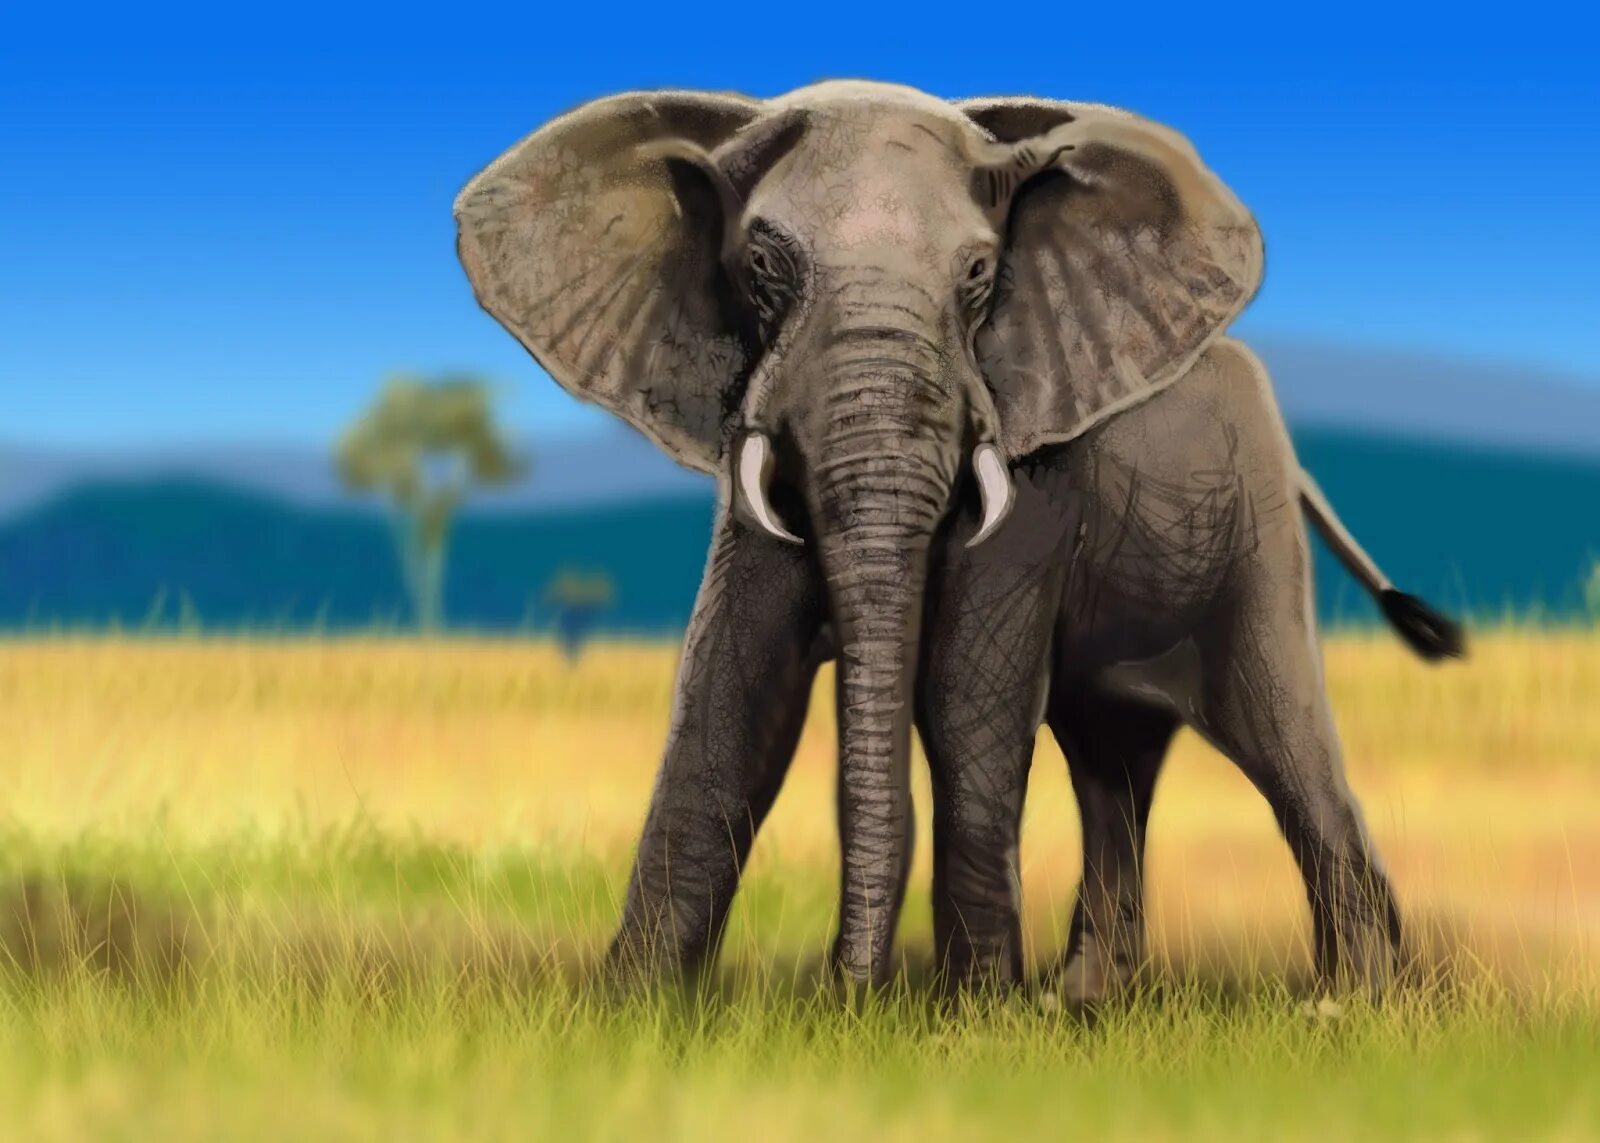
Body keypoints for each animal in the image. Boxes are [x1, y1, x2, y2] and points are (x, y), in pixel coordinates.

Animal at [454, 80, 1463, 995]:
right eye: (763, 265)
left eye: (978, 275)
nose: (841, 991)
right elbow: (731, 688)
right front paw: (634, 1007)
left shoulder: (1040, 472)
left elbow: (963, 697)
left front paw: (974, 1013)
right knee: (1112, 760)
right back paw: (1088, 999)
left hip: (1254, 535)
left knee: (1283, 737)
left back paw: (1355, 1004)